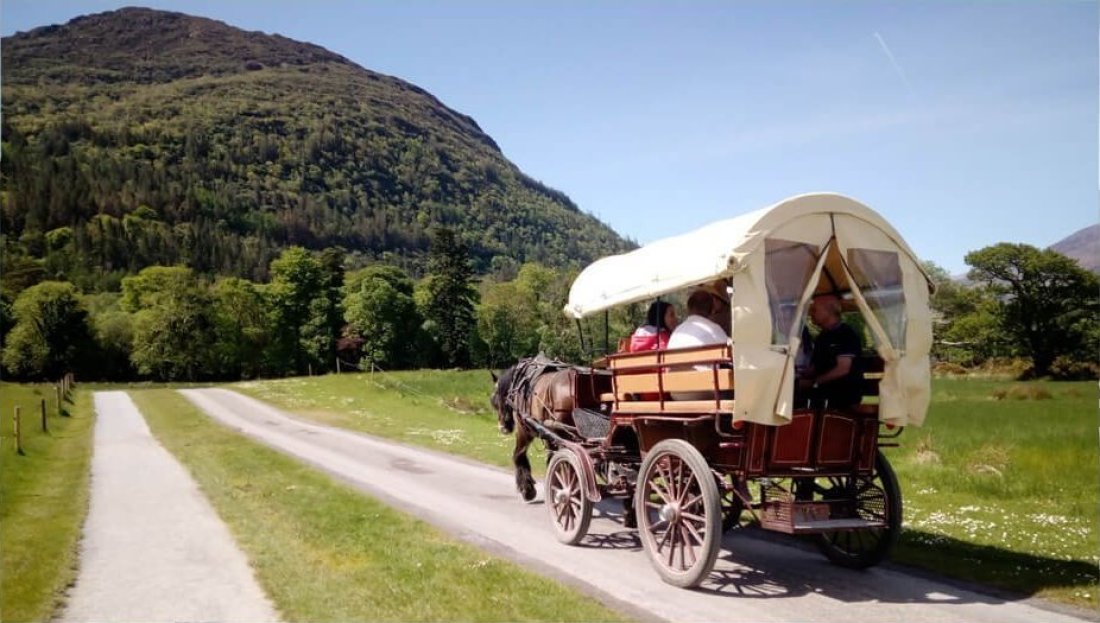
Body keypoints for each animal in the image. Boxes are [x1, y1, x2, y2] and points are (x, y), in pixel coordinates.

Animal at [490, 358, 576, 499]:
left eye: (495, 401)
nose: (503, 427)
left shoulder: (524, 431)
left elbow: (518, 454)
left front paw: (527, 489)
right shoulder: (548, 436)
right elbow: (551, 459)